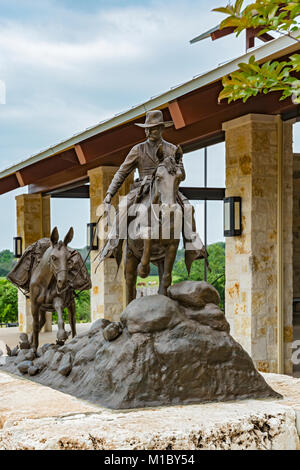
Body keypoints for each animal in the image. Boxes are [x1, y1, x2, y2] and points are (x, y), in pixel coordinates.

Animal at [125, 148, 185, 304]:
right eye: (158, 177)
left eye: (179, 178)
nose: (169, 209)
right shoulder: (138, 236)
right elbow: (147, 234)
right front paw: (143, 269)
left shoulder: (172, 245)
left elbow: (166, 278)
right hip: (130, 255)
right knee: (130, 283)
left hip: (160, 260)